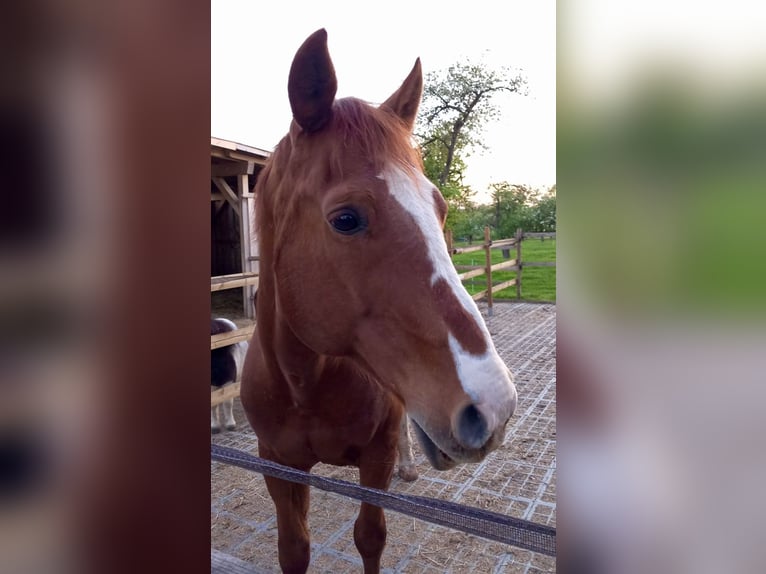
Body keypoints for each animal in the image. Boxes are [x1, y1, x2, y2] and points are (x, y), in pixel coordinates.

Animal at [240, 29, 517, 574]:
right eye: (346, 219)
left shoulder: (376, 457)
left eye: (440, 208)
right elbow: (294, 548)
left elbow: (370, 538)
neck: (305, 383)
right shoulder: (277, 465)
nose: (494, 407)